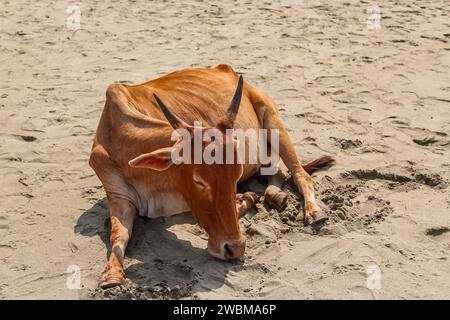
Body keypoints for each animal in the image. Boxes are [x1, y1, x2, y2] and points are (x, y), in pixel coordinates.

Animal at [89, 63, 334, 288]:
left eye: (236, 176)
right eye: (199, 181)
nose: (236, 249)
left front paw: (244, 201)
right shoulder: (119, 197)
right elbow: (118, 233)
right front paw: (112, 275)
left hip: (273, 121)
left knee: (300, 175)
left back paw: (314, 212)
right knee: (279, 173)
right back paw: (276, 196)